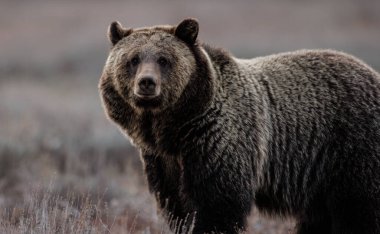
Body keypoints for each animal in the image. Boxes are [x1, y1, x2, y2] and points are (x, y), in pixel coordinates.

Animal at [99, 18, 380, 234]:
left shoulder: (219, 142)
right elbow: (178, 207)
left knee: (358, 209)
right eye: (133, 59)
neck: (175, 128)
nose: (146, 83)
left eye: (164, 59)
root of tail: (372, 73)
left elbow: (219, 205)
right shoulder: (163, 160)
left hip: (349, 149)